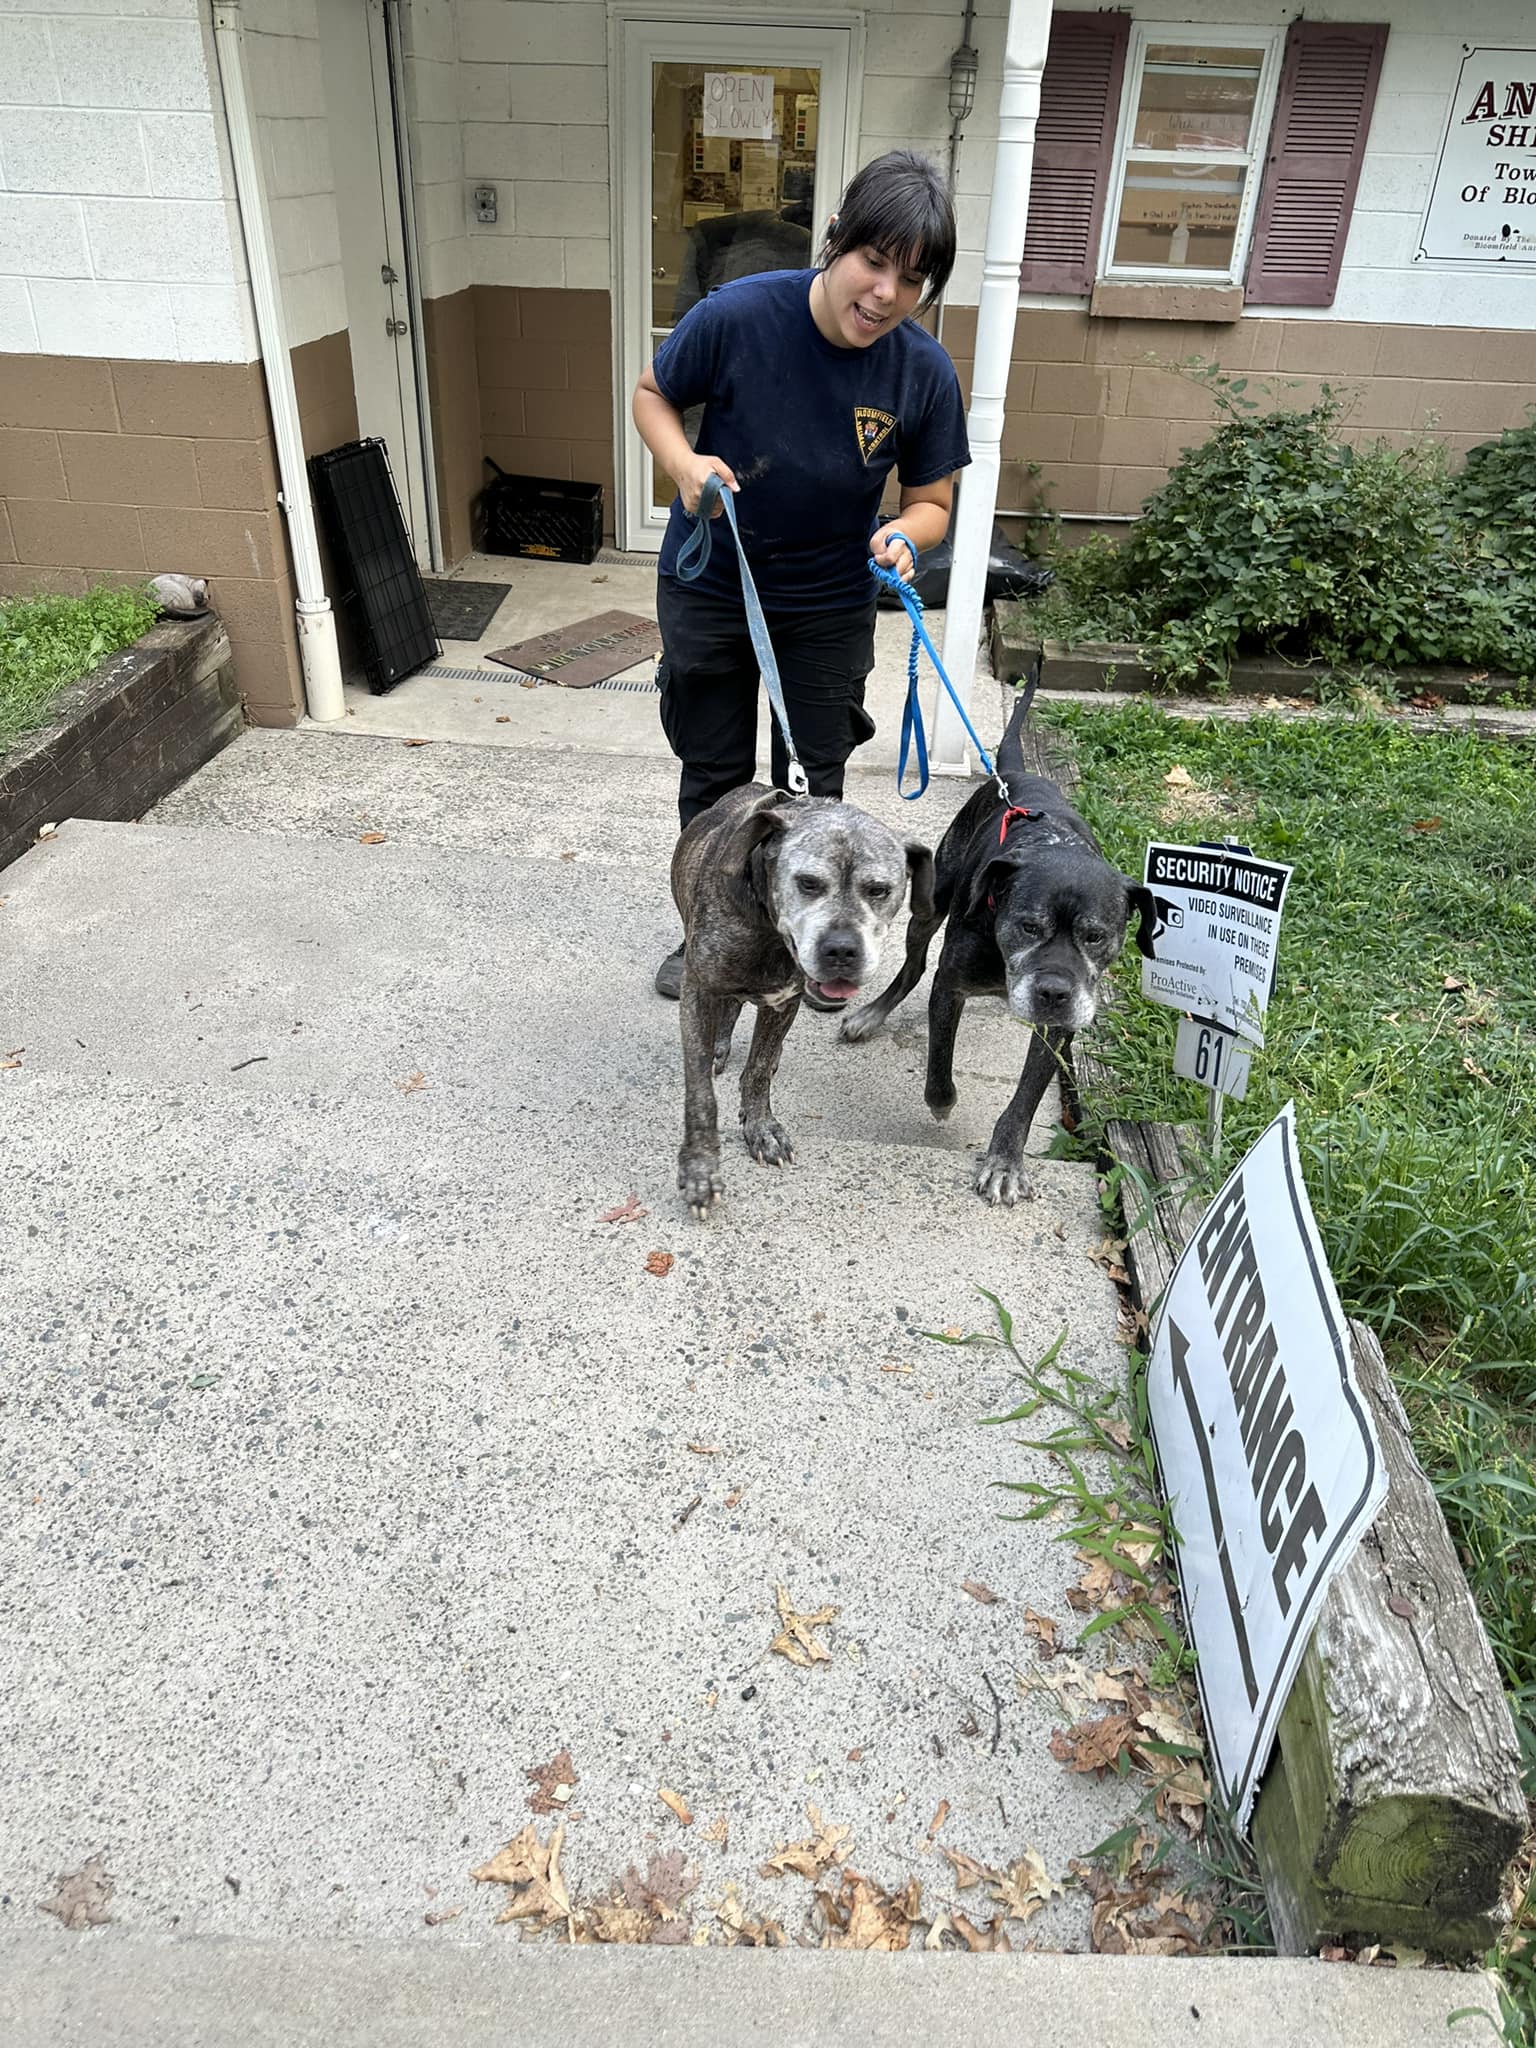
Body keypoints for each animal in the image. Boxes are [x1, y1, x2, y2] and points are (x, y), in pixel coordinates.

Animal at [675, 786, 937, 1212]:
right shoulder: (697, 990)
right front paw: (700, 1168)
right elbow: (701, 1094)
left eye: (878, 890)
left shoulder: (784, 1001)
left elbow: (758, 1069)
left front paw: (761, 1127)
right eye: (809, 883)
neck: (768, 929)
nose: (842, 950)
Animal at [843, 679, 1155, 1204]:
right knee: (912, 966)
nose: (1053, 992)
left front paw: (1005, 1161)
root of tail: (1011, 774)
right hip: (931, 903)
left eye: (1096, 936)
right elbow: (938, 1069)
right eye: (1028, 926)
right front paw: (943, 1104)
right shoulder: (950, 987)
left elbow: (1025, 1099)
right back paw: (871, 1014)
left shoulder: (1056, 1027)